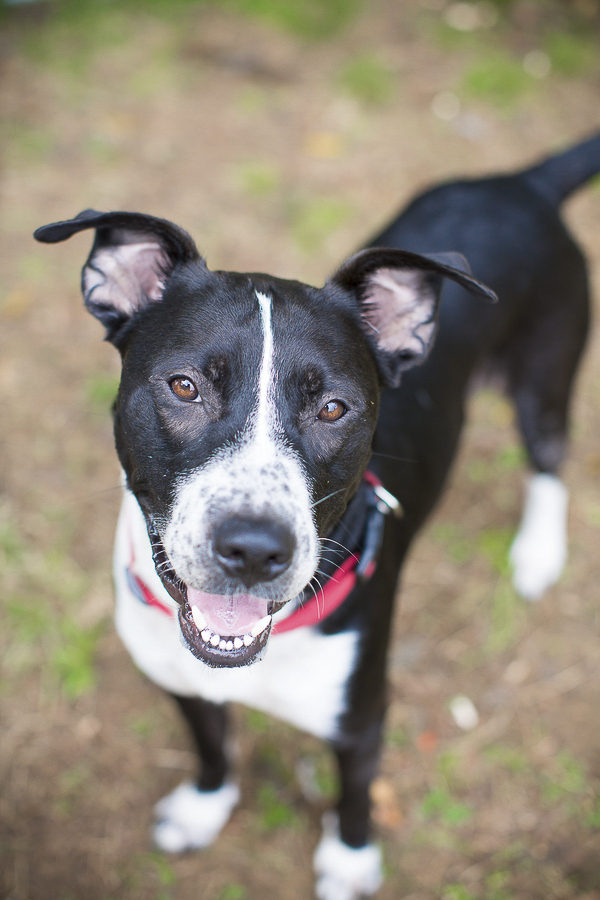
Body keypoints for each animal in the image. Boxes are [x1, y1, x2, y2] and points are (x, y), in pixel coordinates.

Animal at [35, 134, 596, 900]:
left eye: (333, 407)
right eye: (184, 386)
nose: (252, 549)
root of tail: (523, 183)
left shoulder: (361, 719)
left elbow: (355, 796)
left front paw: (351, 860)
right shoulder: (180, 683)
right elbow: (211, 748)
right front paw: (204, 808)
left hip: (546, 378)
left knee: (549, 461)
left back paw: (538, 552)